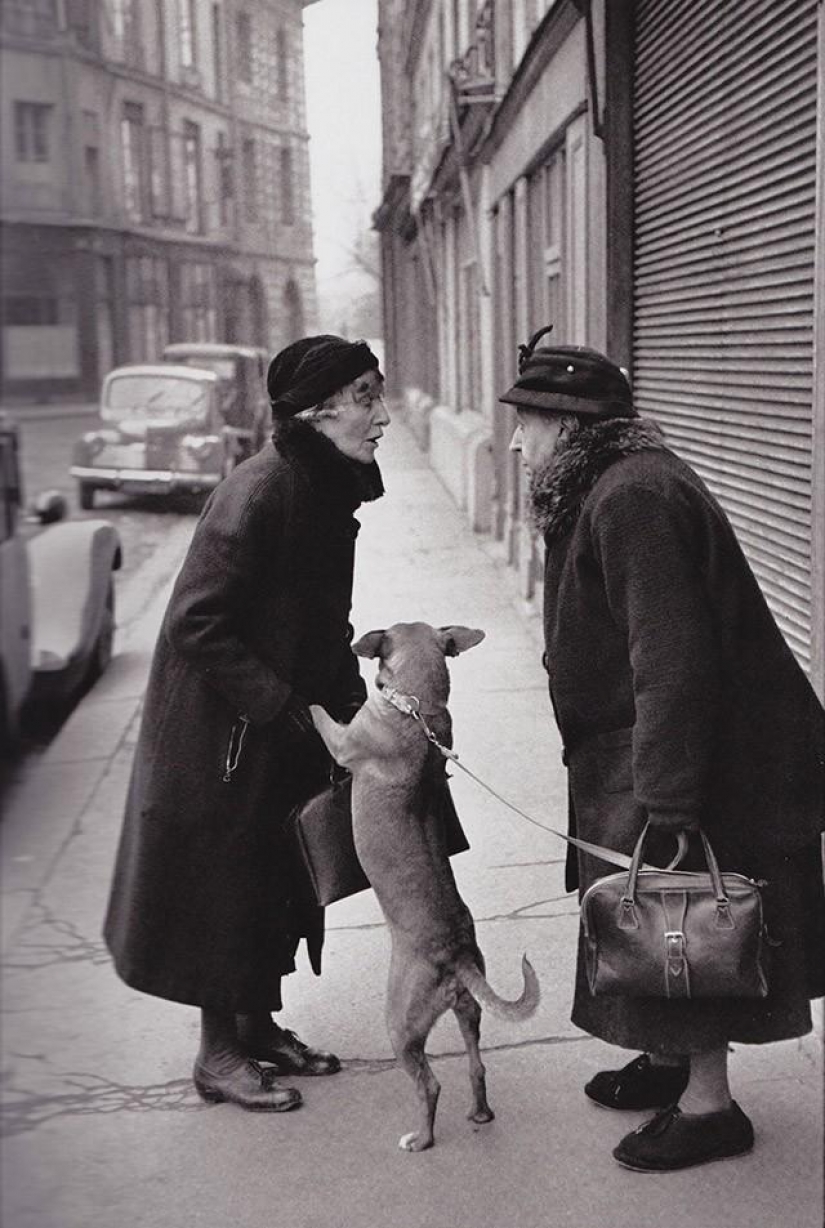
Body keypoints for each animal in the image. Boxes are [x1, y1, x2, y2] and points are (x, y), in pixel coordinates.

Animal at [309, 623, 540, 1149]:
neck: (417, 709)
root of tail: (455, 956)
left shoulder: (342, 740)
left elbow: (320, 718)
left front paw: (304, 700)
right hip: (468, 1013)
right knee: (476, 1067)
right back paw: (480, 1113)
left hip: (400, 1025)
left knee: (429, 1084)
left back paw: (420, 1138)